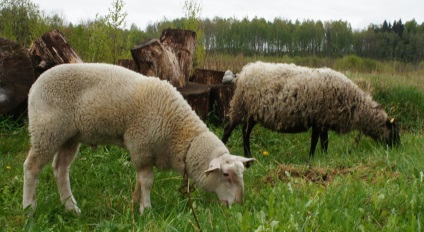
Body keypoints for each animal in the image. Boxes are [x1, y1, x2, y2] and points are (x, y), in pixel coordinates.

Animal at [22, 63, 255, 214]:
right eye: (225, 174)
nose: (239, 205)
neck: (179, 133)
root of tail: (35, 84)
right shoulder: (141, 145)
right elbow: (147, 181)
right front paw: (146, 210)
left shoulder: (143, 151)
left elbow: (139, 181)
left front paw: (135, 204)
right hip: (47, 131)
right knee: (32, 167)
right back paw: (28, 209)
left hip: (69, 136)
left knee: (61, 169)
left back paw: (71, 207)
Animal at [222, 61, 400, 160]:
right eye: (394, 131)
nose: (398, 148)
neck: (355, 106)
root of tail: (241, 73)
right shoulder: (322, 120)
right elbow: (324, 142)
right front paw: (323, 158)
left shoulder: (318, 121)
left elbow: (316, 142)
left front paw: (313, 158)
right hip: (240, 106)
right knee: (229, 128)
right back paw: (225, 149)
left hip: (251, 113)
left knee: (245, 133)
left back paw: (248, 155)